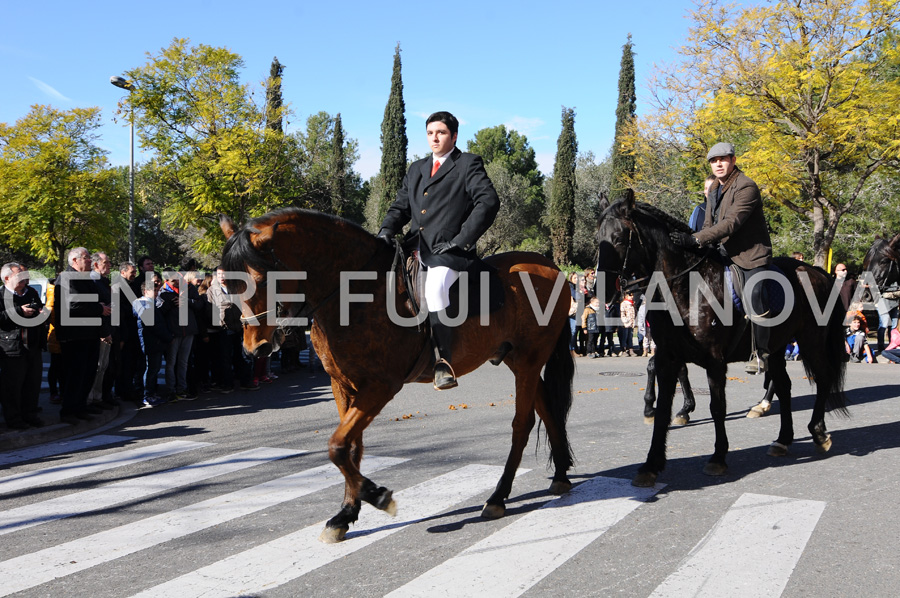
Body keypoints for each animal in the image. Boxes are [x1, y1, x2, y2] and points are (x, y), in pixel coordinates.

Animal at [221, 210, 572, 544]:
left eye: (261, 280)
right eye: (226, 285)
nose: (254, 349)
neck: (353, 291)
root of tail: (551, 267)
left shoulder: (379, 386)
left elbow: (337, 446)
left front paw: (376, 495)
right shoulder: (342, 384)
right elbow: (351, 448)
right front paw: (346, 514)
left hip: (528, 361)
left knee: (522, 423)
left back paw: (499, 497)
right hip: (519, 360)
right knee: (546, 407)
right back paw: (560, 476)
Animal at [596, 199, 848, 490]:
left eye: (618, 238)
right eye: (599, 238)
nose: (602, 290)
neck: (687, 287)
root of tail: (817, 271)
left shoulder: (714, 361)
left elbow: (717, 407)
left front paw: (717, 457)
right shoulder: (668, 357)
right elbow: (663, 409)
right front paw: (651, 464)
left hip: (811, 342)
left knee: (823, 378)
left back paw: (818, 432)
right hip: (775, 349)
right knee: (784, 386)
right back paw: (783, 439)